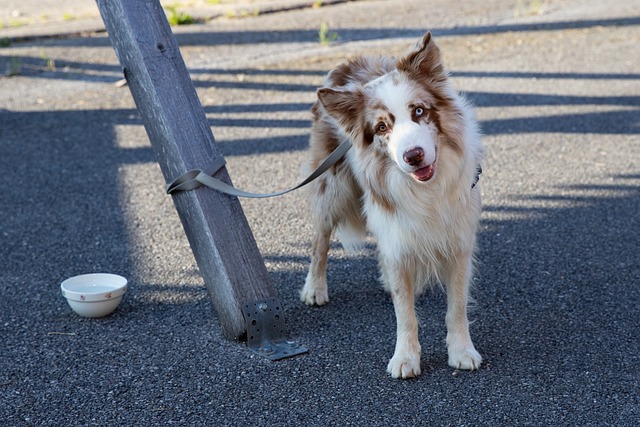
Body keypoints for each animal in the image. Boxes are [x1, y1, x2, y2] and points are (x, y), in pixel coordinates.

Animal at [300, 33, 484, 380]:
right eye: (382, 127)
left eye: (420, 111)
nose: (413, 155)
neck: (425, 189)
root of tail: (350, 61)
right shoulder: (396, 233)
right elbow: (405, 314)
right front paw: (405, 358)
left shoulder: (458, 241)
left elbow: (457, 307)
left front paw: (462, 351)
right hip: (332, 187)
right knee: (320, 241)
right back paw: (314, 289)